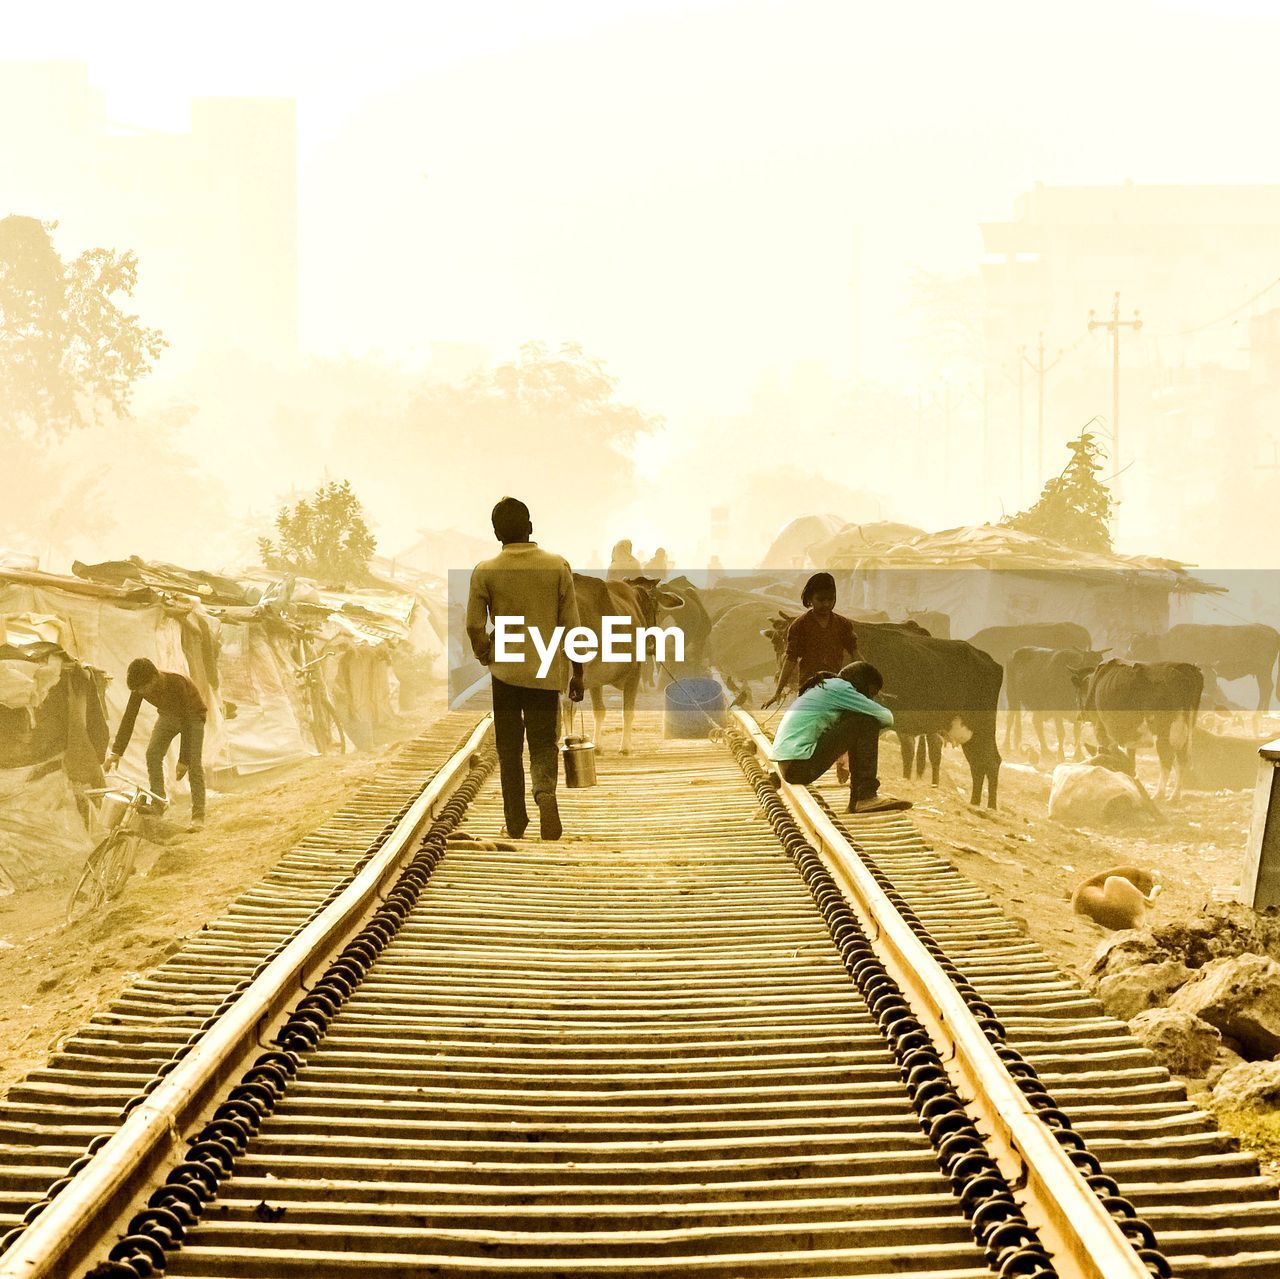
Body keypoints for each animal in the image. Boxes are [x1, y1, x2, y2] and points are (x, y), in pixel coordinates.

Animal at [849, 622, 1008, 809]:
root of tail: (991, 661)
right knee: (978, 763)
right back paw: (975, 803)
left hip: (980, 727)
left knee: (990, 762)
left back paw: (990, 807)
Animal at [1075, 660, 1203, 798]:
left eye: (1078, 693)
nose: (1079, 716)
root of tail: (1184, 667)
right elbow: (1130, 758)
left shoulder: (1101, 730)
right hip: (1185, 730)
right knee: (1182, 758)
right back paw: (1174, 796)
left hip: (1163, 731)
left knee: (1167, 758)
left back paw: (1159, 795)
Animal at [1131, 622, 1280, 732]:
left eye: (1137, 644)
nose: (1129, 656)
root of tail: (1272, 632)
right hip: (1261, 672)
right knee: (1266, 688)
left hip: (1263, 671)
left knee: (1266, 687)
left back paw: (1261, 712)